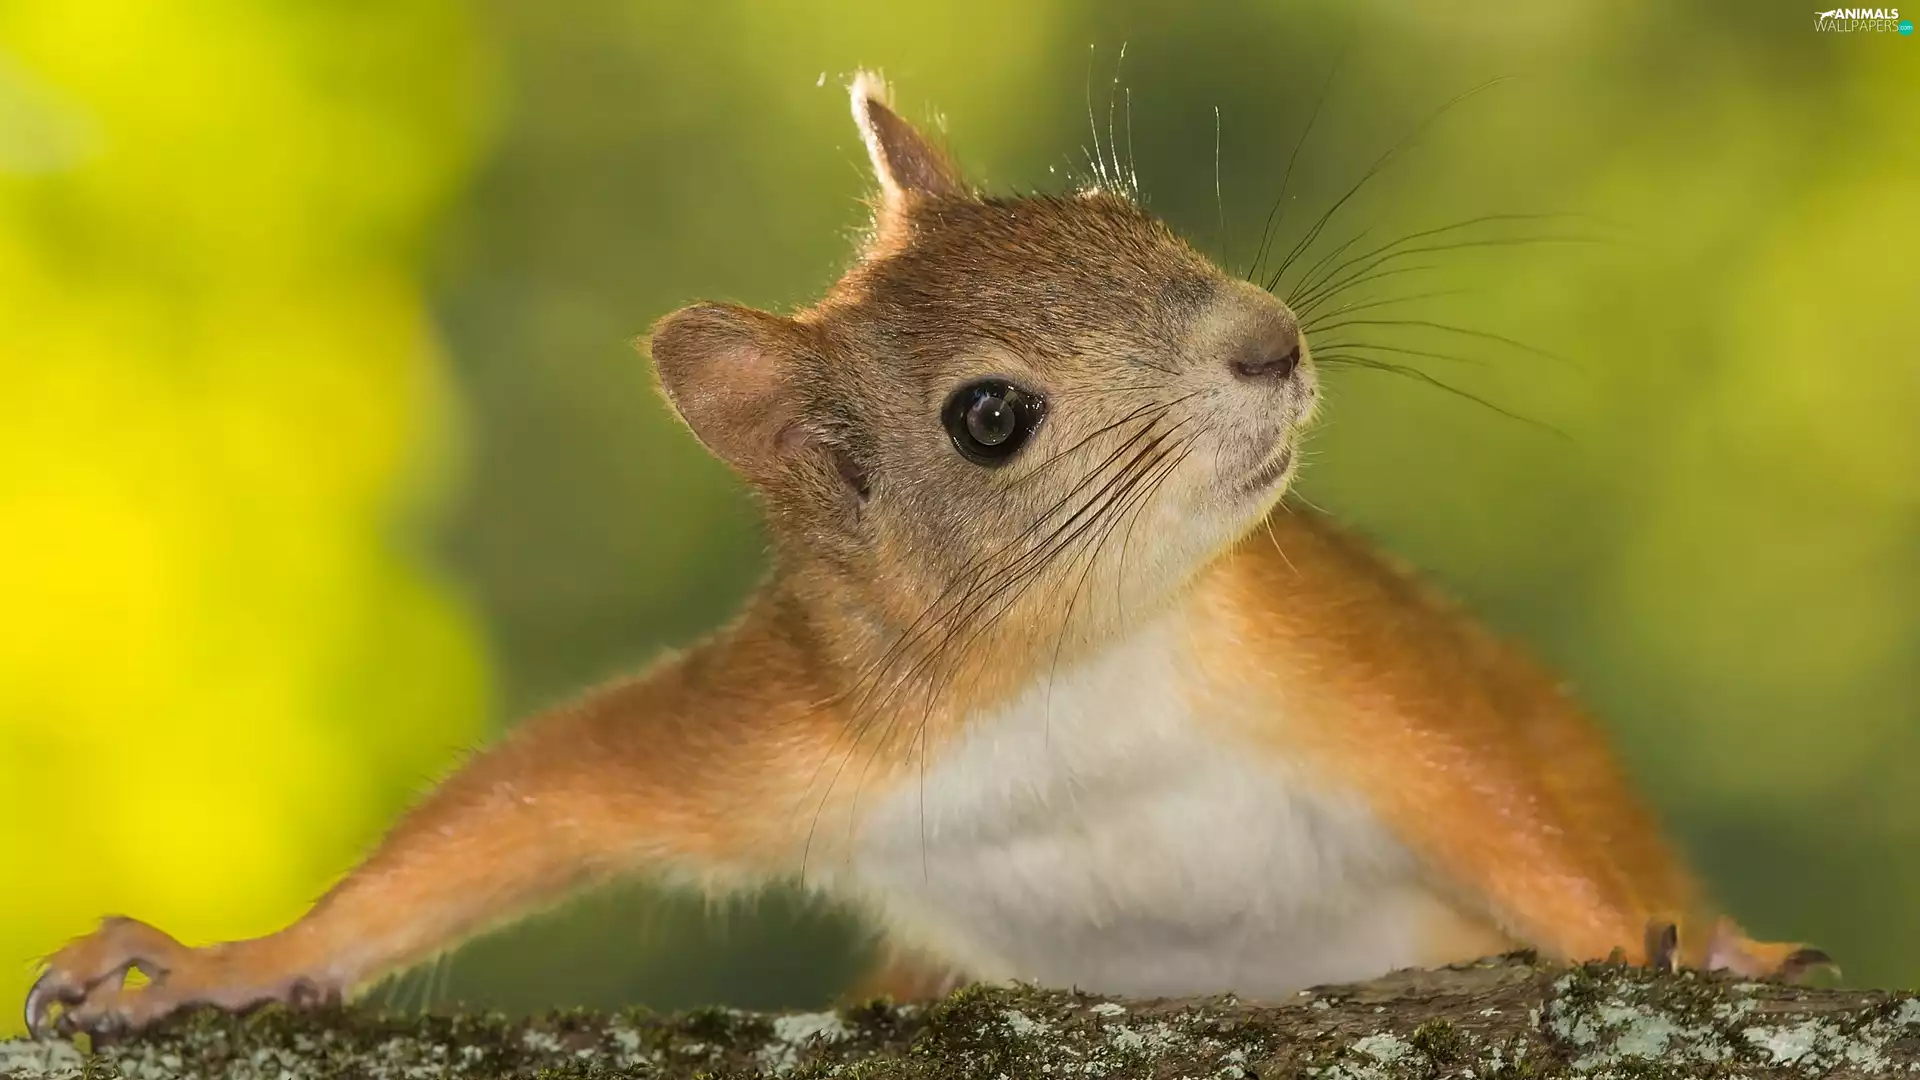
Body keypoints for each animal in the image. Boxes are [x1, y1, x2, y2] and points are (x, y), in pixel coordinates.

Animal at [26, 72, 1830, 1039]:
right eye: (988, 418)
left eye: (1116, 213)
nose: (1271, 342)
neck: (1067, 677)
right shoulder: (800, 723)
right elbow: (539, 798)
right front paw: (226, 965)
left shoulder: (1326, 654)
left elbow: (1494, 793)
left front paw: (1705, 942)